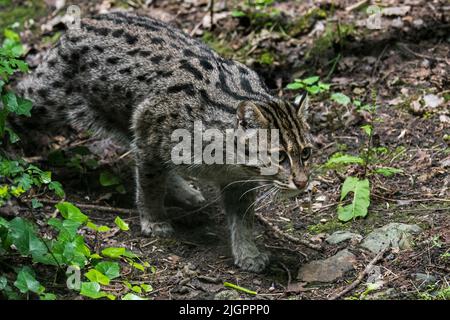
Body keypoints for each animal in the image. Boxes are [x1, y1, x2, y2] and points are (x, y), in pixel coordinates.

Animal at [18, 12, 312, 272]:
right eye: (279, 156)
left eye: (306, 153)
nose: (302, 182)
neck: (228, 160)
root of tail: (84, 20)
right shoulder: (149, 133)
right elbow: (150, 185)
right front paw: (154, 220)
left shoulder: (237, 181)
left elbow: (243, 219)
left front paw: (247, 252)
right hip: (46, 100)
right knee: (18, 96)